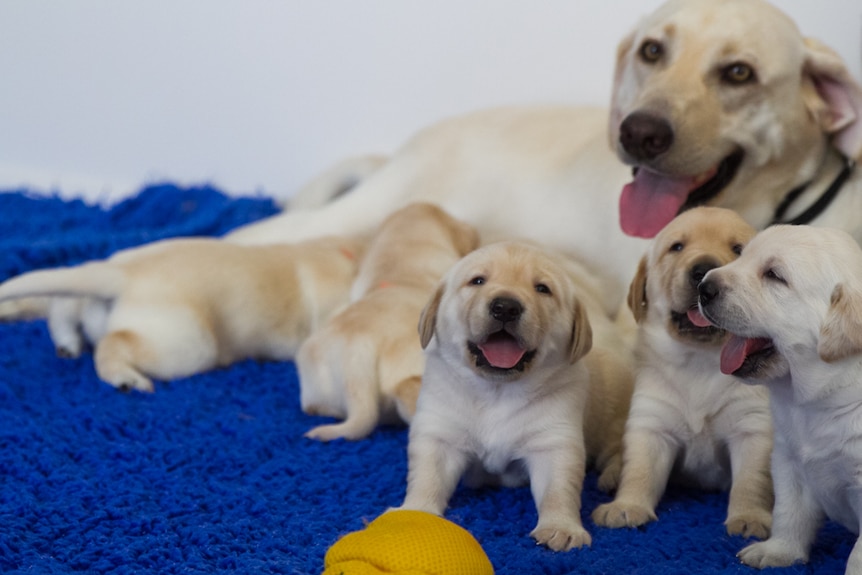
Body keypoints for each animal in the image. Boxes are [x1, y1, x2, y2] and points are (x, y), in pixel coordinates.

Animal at [0, 234, 368, 392]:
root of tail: (123, 273)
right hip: (190, 345)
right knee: (113, 343)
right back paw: (127, 378)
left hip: (92, 286)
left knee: (62, 307)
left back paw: (68, 344)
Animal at [398, 241, 636, 552]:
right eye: (477, 281)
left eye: (542, 288)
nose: (506, 307)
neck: (496, 391)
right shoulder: (440, 433)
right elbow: (427, 476)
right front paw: (414, 513)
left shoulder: (554, 442)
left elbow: (559, 489)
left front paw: (561, 527)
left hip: (615, 414)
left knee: (617, 448)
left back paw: (613, 476)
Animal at [592, 207, 776, 540]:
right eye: (677, 247)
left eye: (738, 250)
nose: (703, 271)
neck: (700, 360)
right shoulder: (651, 423)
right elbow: (639, 470)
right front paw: (627, 506)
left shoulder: (752, 428)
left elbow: (750, 481)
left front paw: (749, 517)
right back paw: (613, 474)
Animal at [700, 226, 862, 575]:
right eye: (741, 255)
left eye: (774, 275)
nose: (703, 287)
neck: (815, 404)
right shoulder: (787, 458)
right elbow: (789, 512)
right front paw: (778, 552)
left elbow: (859, 553)